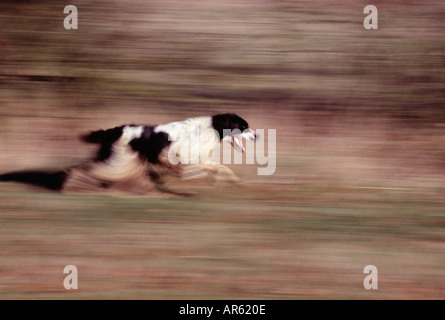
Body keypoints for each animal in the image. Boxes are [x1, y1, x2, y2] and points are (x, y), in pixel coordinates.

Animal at [0, 113, 256, 192]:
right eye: (243, 127)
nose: (257, 135)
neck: (213, 127)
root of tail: (113, 130)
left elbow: (217, 168)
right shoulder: (187, 159)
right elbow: (215, 167)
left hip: (125, 159)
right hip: (120, 159)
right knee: (91, 168)